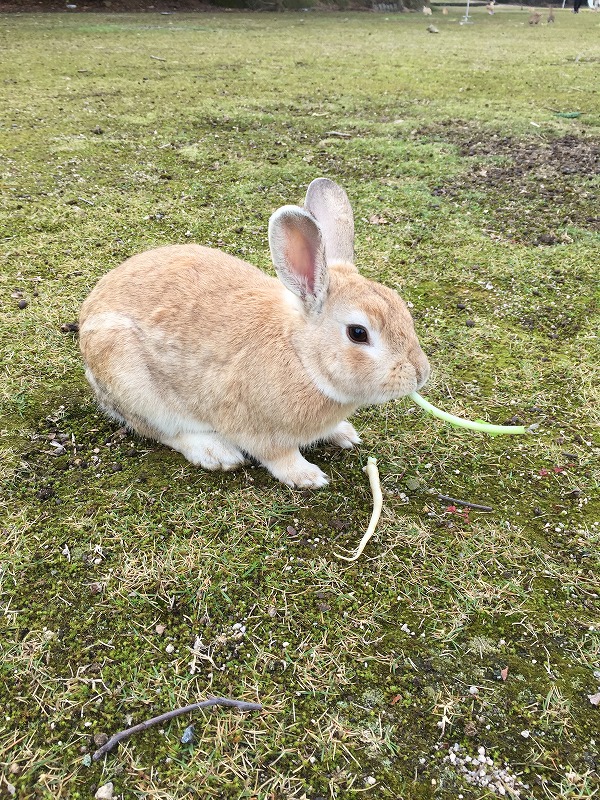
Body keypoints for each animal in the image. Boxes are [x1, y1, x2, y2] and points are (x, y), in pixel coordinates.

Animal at [78, 180, 432, 488]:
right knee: (162, 431)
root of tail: (86, 320)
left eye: (400, 306)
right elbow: (277, 455)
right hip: (132, 379)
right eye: (358, 333)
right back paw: (217, 454)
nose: (420, 374)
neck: (302, 357)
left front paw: (344, 434)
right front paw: (307, 476)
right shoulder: (257, 429)